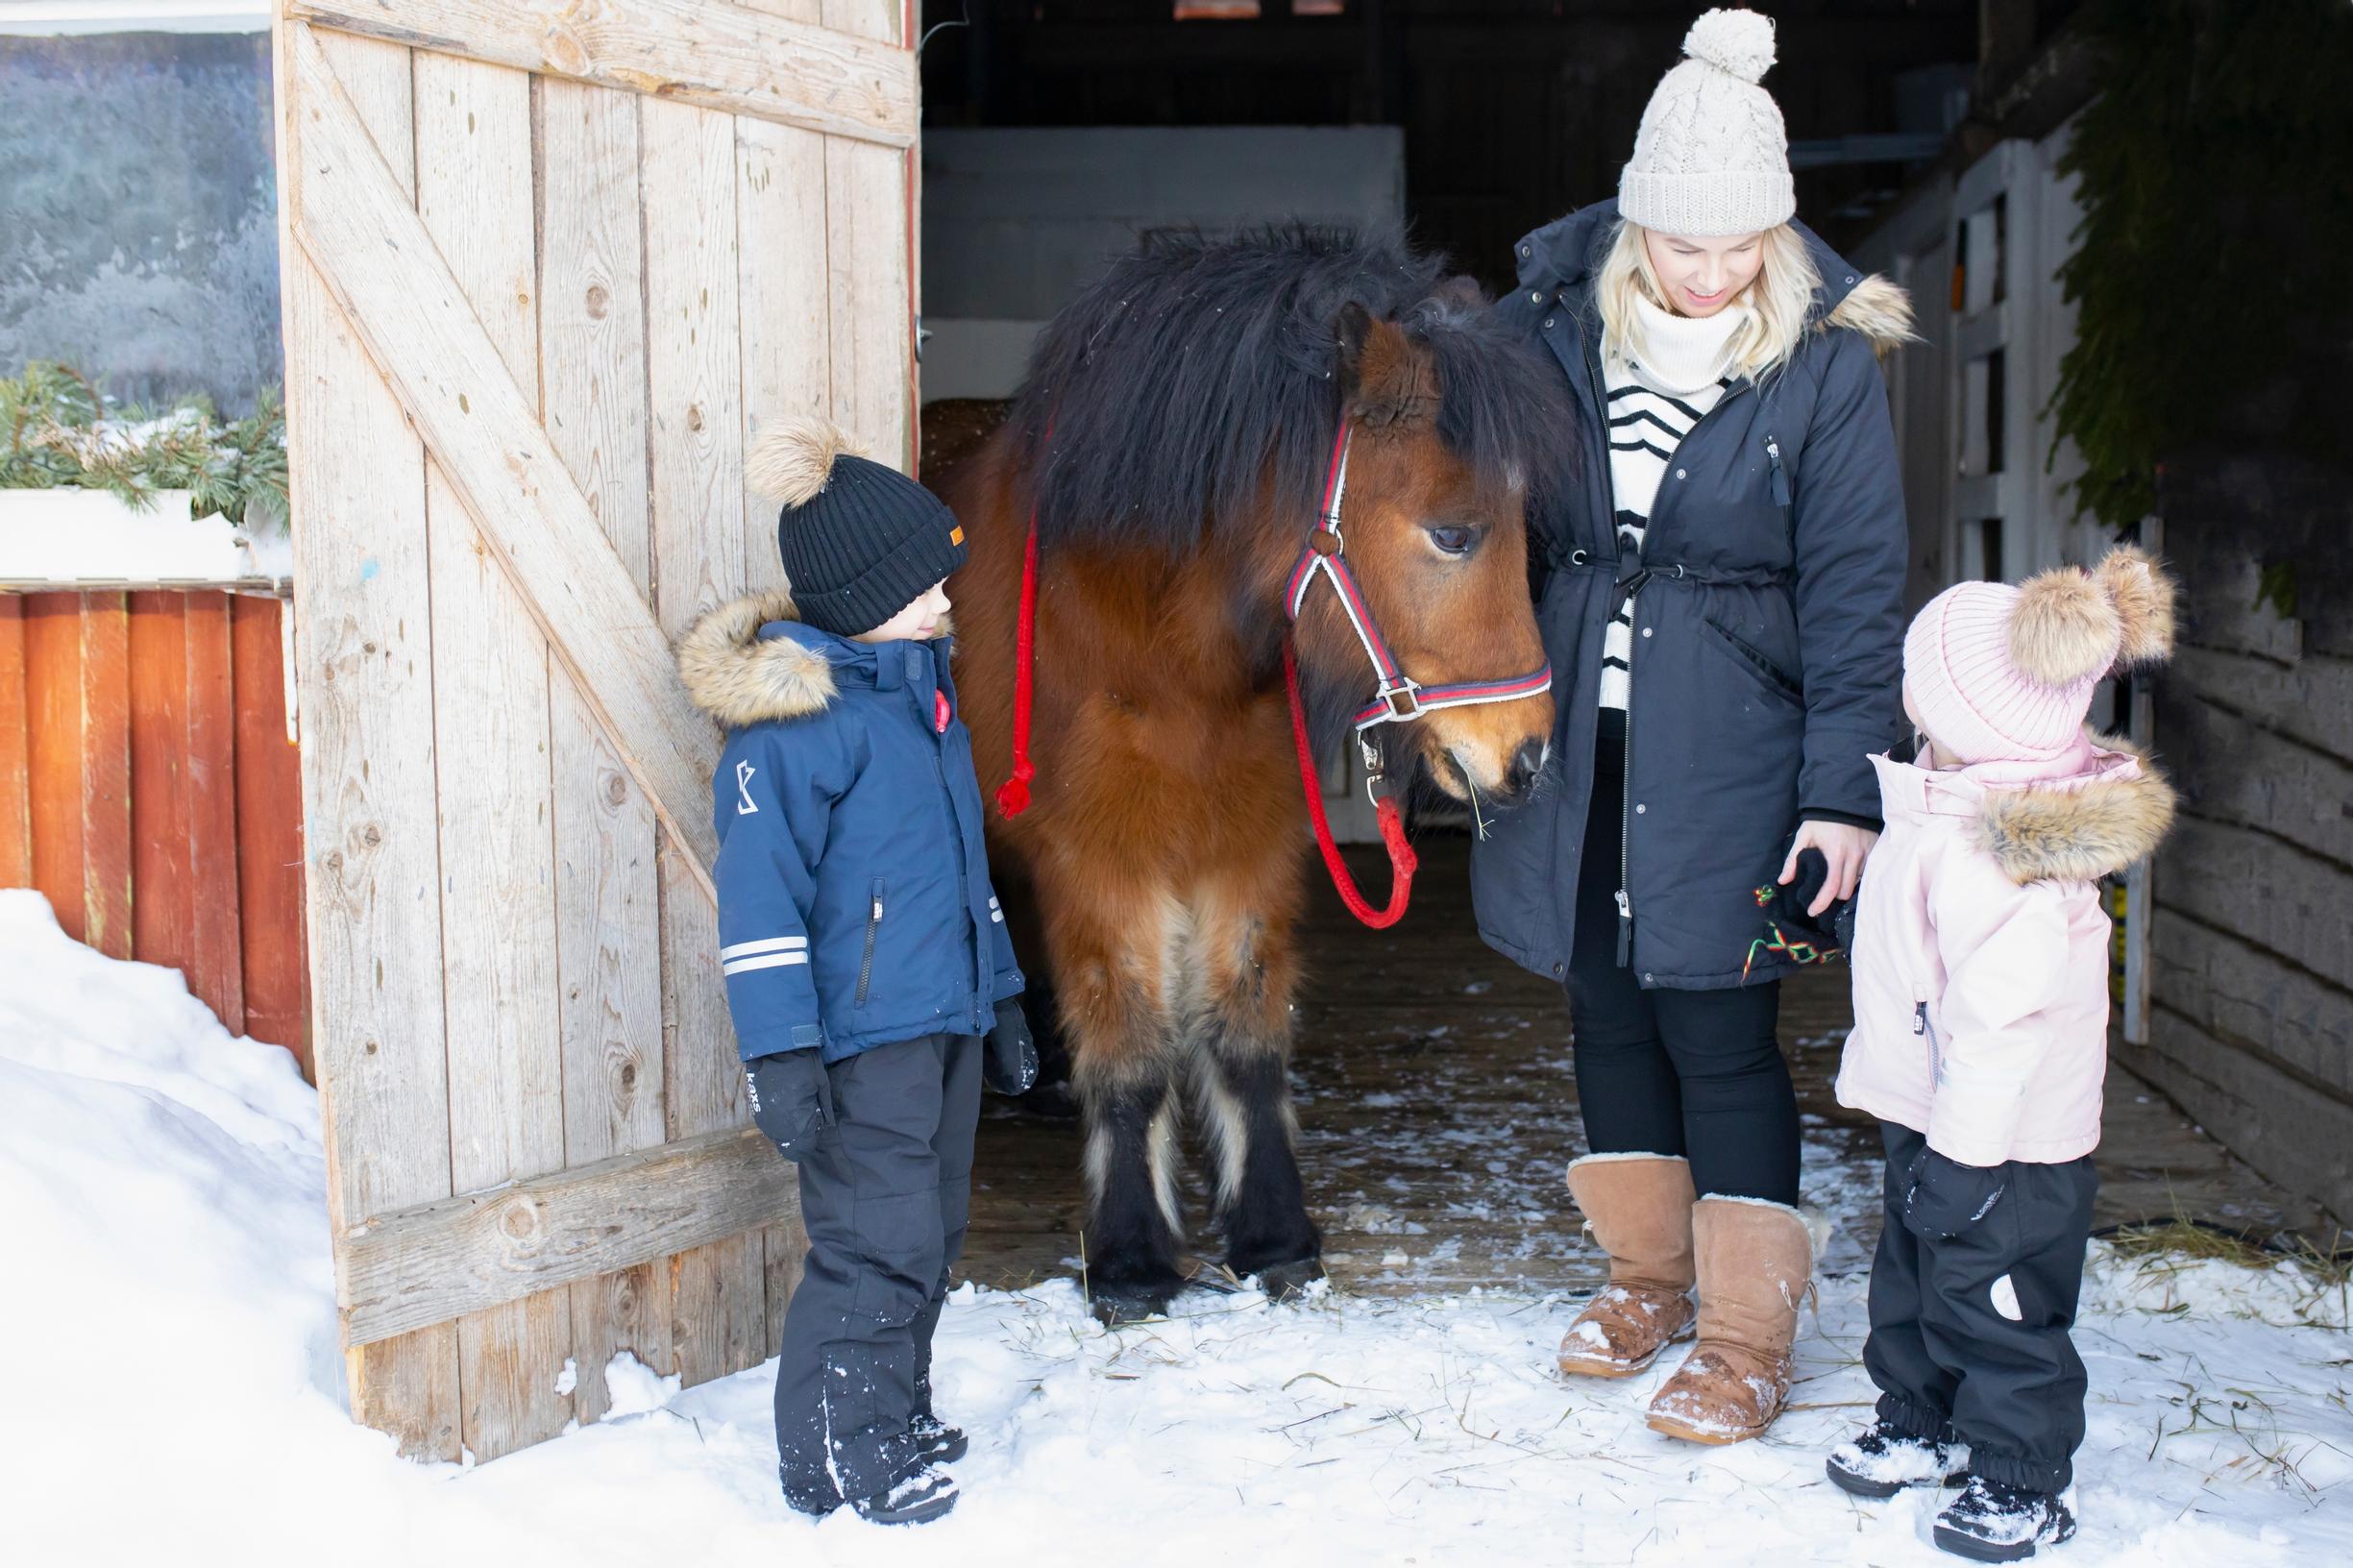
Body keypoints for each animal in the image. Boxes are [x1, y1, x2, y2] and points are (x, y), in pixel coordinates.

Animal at [940, 227, 1573, 1321]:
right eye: (1452, 533)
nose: (1526, 756)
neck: (1162, 648)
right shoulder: (1101, 866)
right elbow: (1134, 1054)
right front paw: (1133, 1259)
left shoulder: (1249, 851)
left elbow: (1244, 1041)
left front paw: (1274, 1236)